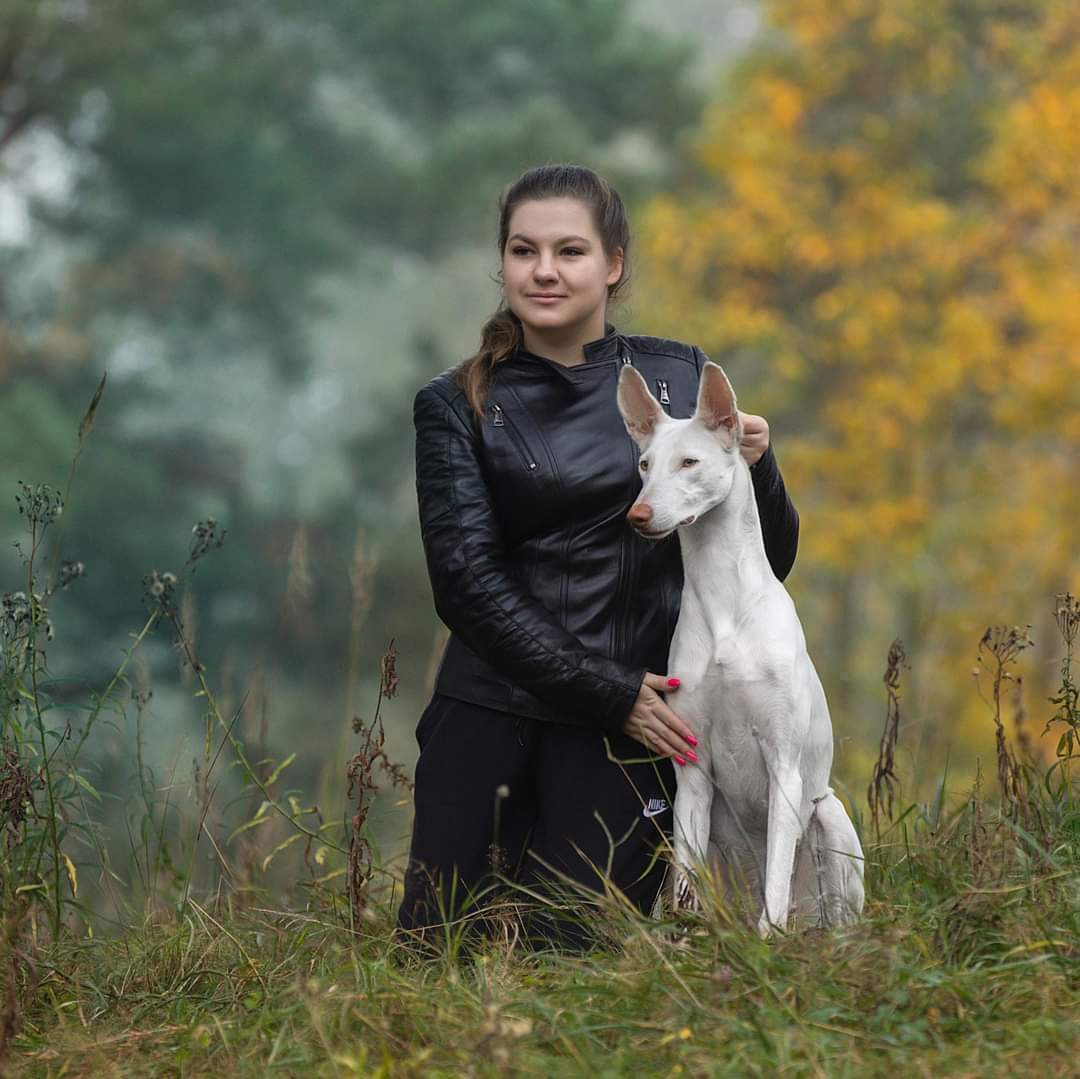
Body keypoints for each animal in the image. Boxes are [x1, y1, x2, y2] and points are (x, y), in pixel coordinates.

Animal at [617, 358, 859, 933]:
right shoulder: (691, 771)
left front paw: (768, 938)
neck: (725, 603)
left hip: (830, 815)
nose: (638, 516)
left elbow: (775, 876)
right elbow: (686, 876)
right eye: (644, 465)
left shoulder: (784, 765)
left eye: (689, 462)